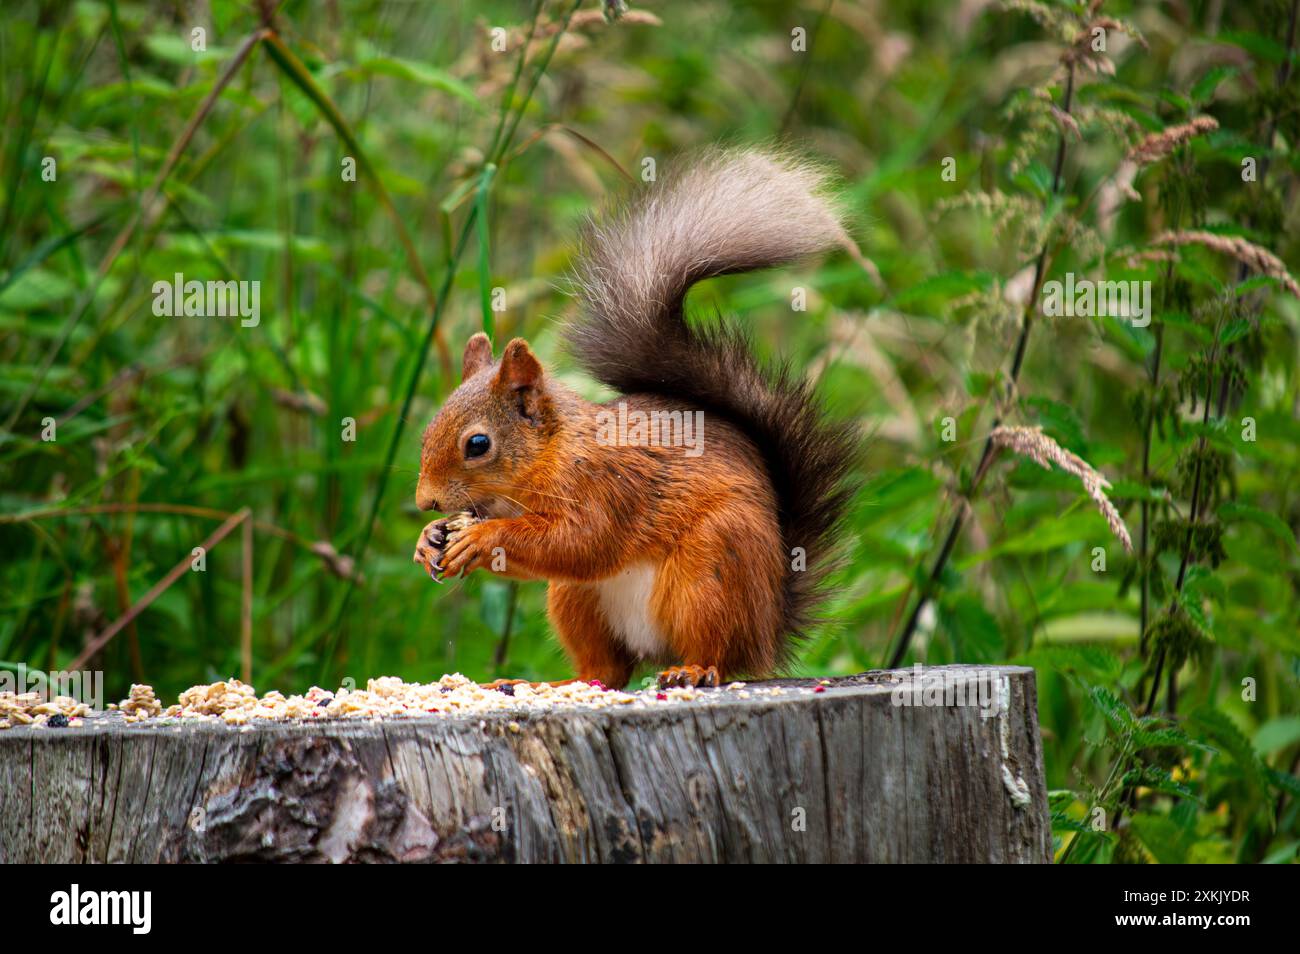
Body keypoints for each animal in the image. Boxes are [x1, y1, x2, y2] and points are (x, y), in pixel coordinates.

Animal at [416, 147, 857, 686]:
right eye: (426, 434)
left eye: (477, 445)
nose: (426, 502)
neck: (550, 454)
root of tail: (767, 633)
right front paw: (430, 540)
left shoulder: (608, 485)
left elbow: (580, 542)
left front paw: (480, 538)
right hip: (577, 600)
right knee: (605, 670)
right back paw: (544, 682)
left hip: (710, 571)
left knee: (714, 650)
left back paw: (693, 669)